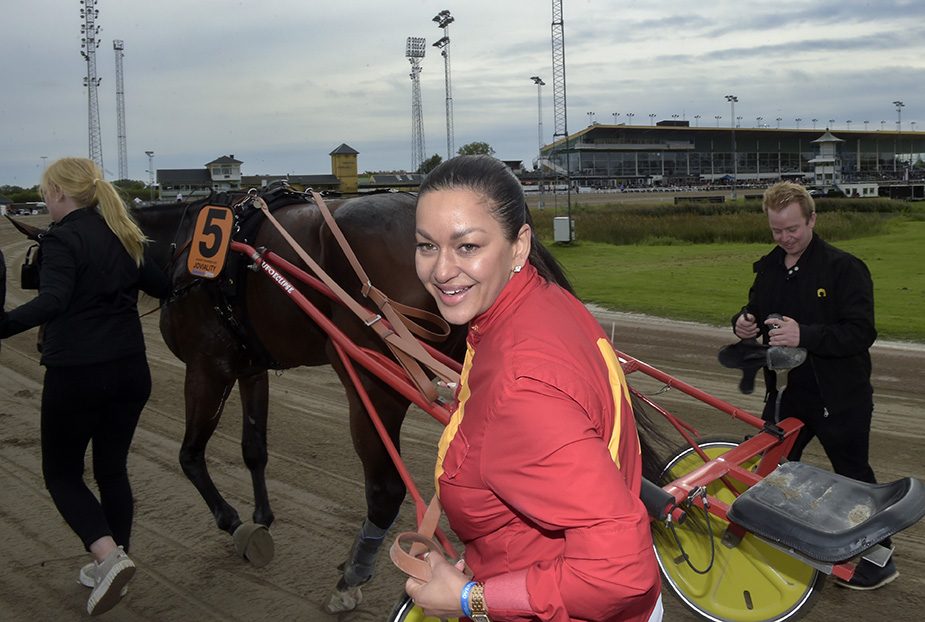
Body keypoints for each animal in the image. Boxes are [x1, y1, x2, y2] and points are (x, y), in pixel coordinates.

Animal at [134, 186, 466, 616]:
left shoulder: (207, 366)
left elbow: (189, 456)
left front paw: (235, 523)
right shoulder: (250, 368)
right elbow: (254, 448)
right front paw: (262, 515)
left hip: (368, 377)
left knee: (386, 491)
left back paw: (352, 577)